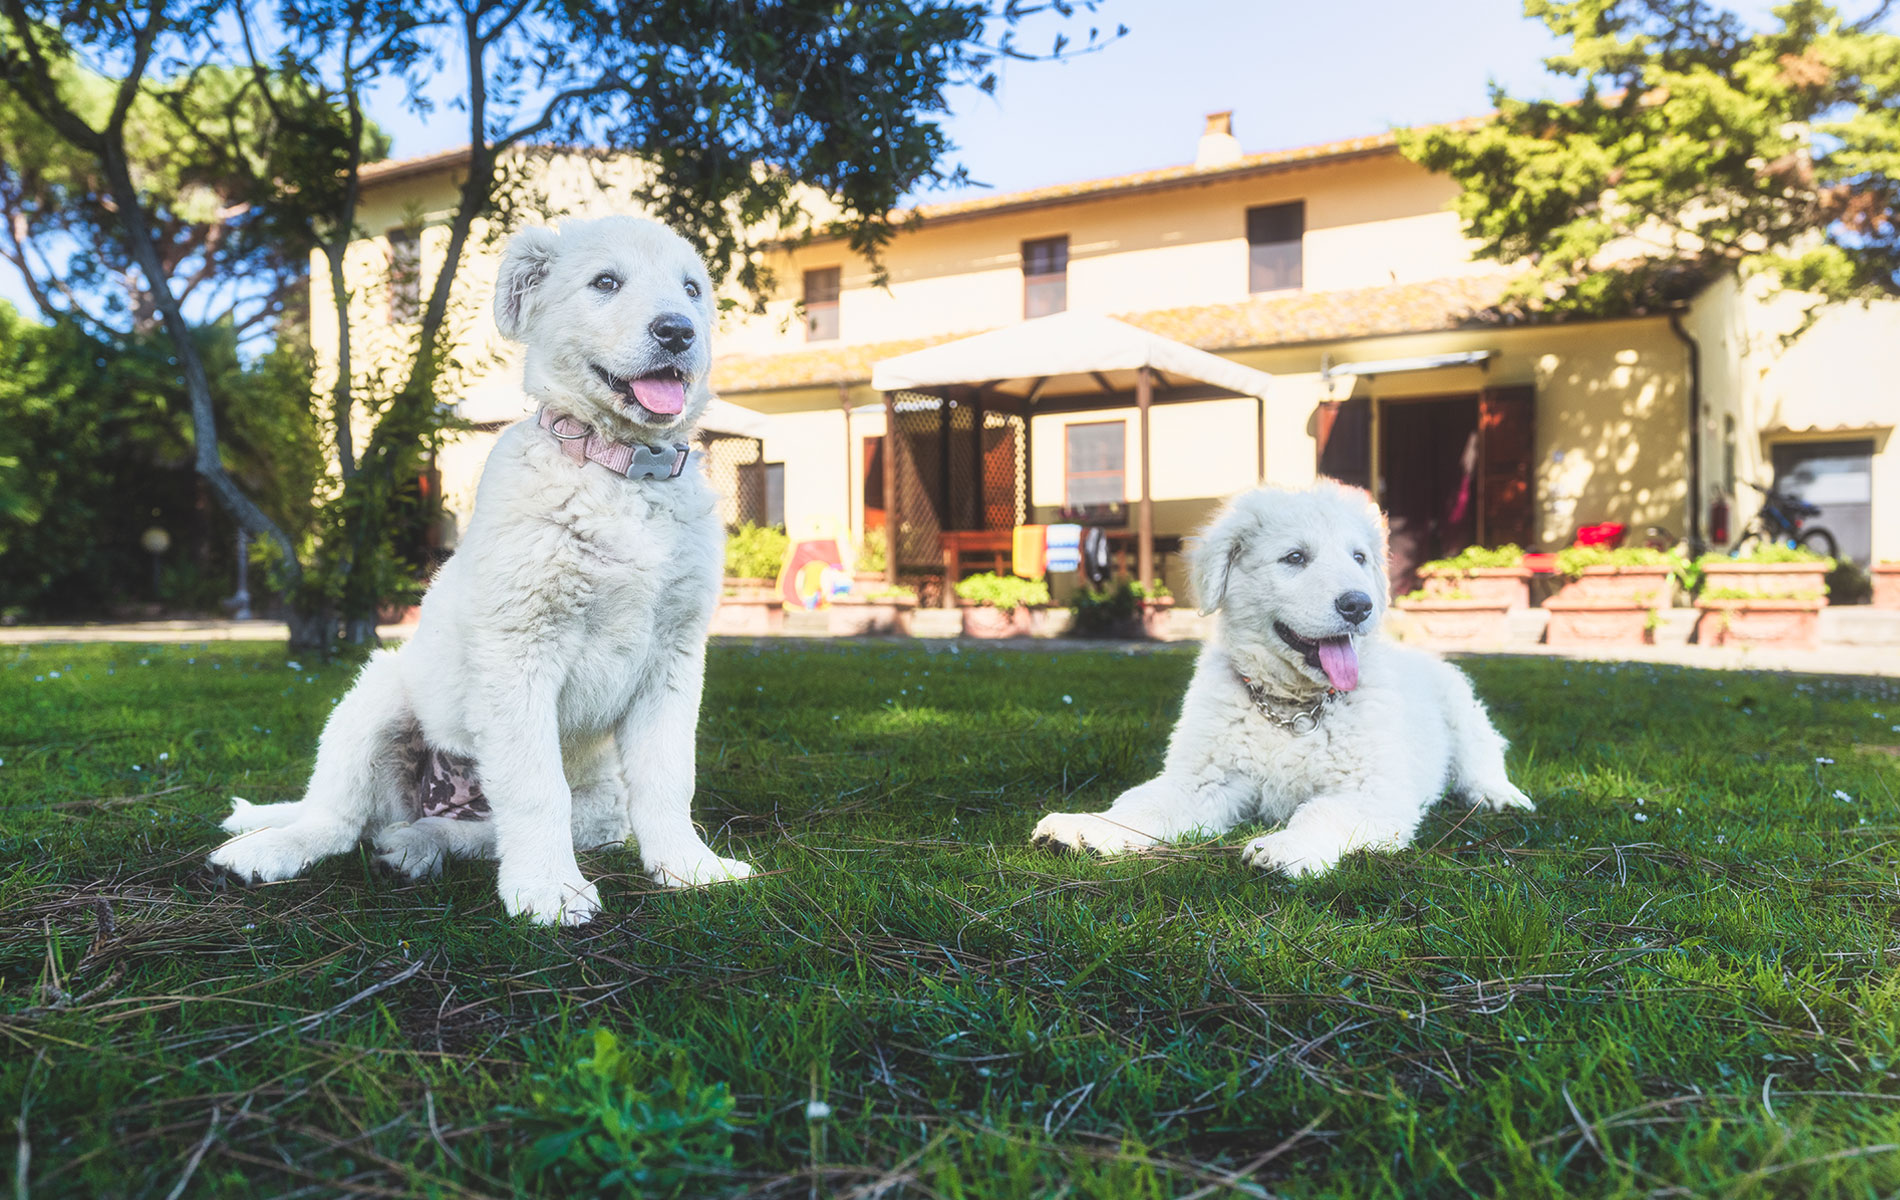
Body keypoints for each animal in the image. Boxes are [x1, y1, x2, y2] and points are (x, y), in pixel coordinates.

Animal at [204, 218, 744, 926]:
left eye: (692, 290)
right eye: (605, 282)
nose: (678, 331)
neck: (622, 472)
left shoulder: (673, 659)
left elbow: (667, 778)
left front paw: (688, 866)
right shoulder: (520, 649)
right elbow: (536, 786)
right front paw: (551, 889)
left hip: (596, 809)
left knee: (455, 832)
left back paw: (416, 845)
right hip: (374, 698)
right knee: (337, 821)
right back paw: (272, 849)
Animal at [1033, 480, 1535, 881]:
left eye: (1359, 557)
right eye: (1295, 557)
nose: (1360, 604)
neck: (1294, 709)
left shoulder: (1371, 790)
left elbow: (1322, 812)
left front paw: (1288, 846)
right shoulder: (1203, 779)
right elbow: (1144, 804)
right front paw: (1089, 826)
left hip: (1461, 706)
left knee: (1482, 757)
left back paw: (1501, 796)